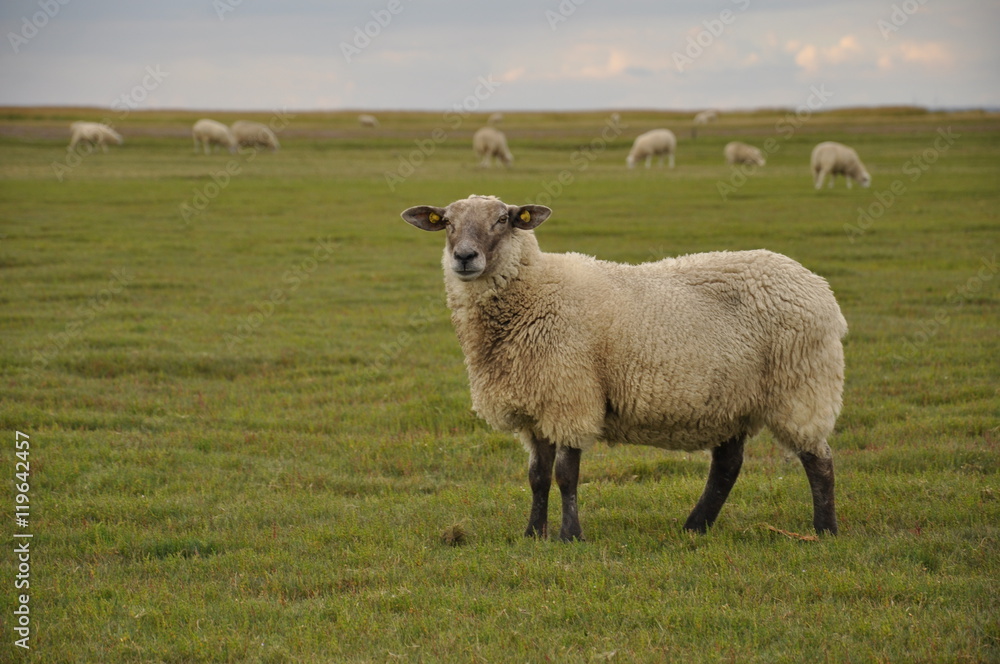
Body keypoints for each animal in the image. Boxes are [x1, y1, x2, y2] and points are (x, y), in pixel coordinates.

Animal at [401, 194, 847, 541]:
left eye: (502, 220)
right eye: (447, 223)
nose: (464, 258)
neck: (535, 291)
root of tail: (817, 285)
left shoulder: (571, 394)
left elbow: (566, 474)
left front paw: (569, 536)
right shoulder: (536, 403)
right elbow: (537, 476)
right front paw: (532, 534)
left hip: (802, 385)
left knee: (819, 460)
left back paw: (824, 529)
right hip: (730, 397)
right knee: (727, 466)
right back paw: (695, 526)